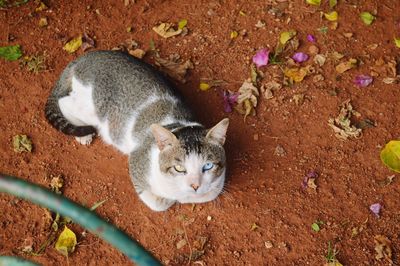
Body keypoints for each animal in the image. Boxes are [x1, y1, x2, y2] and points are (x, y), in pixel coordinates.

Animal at [44, 50, 230, 211]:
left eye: (208, 166)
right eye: (179, 168)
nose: (195, 185)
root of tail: (84, 58)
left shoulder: (217, 182)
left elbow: (210, 192)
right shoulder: (137, 160)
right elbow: (159, 203)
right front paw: (170, 199)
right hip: (91, 108)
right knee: (64, 102)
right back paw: (84, 134)